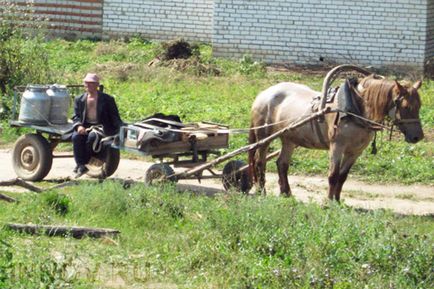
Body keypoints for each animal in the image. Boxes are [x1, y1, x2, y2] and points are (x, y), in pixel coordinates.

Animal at [248, 68, 424, 201]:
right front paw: (328, 202)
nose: (418, 137)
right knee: (259, 161)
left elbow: (342, 176)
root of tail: (262, 94)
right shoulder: (337, 147)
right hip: (264, 136)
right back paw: (262, 191)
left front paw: (337, 201)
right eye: (405, 106)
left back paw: (286, 193)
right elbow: (333, 175)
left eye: (419, 105)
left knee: (282, 164)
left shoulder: (355, 152)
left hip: (289, 139)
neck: (354, 109)